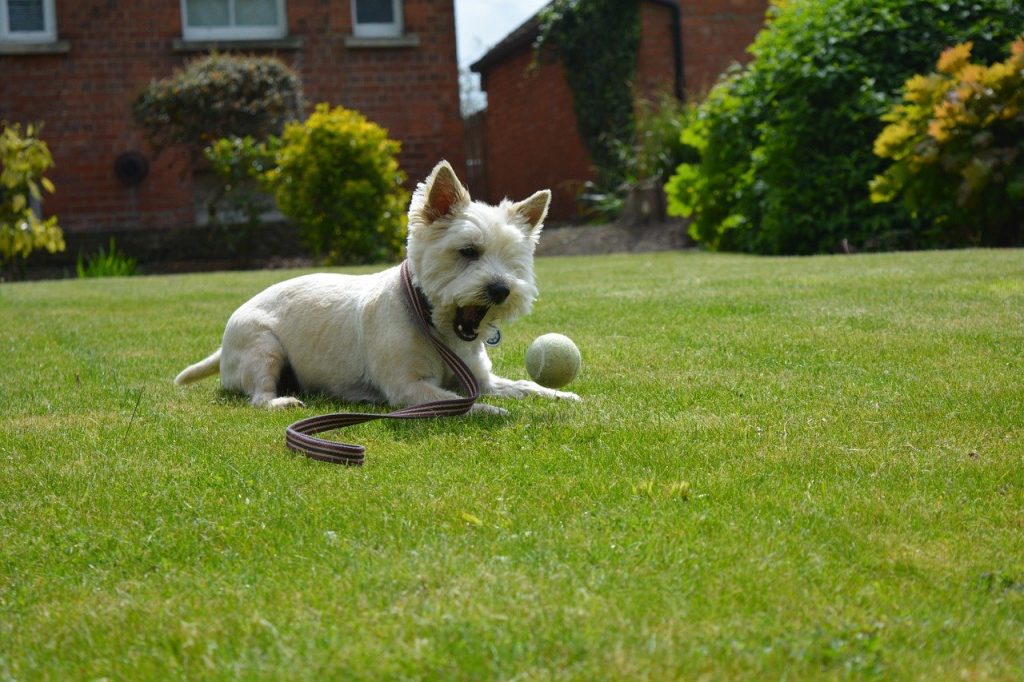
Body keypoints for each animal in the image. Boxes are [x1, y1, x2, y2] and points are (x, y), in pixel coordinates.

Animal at [172, 160, 581, 413]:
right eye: (468, 251)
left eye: (514, 261)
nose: (500, 290)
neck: (433, 324)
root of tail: (223, 348)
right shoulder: (407, 387)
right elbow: (455, 401)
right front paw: (488, 410)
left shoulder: (481, 378)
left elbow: (524, 385)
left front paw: (561, 393)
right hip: (263, 348)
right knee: (258, 395)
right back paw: (280, 401)